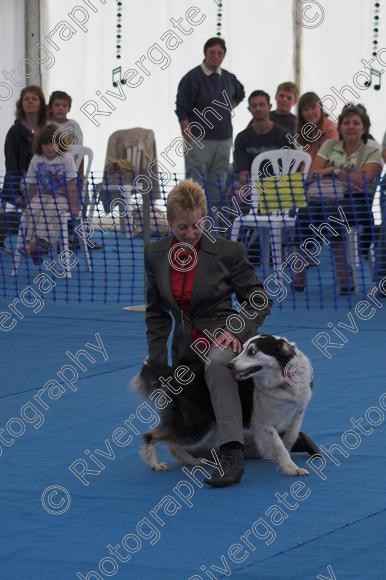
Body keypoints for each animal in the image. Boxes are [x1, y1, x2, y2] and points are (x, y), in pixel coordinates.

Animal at [132, 336, 314, 476]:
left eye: (252, 351)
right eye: (243, 348)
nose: (229, 365)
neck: (282, 382)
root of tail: (174, 372)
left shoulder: (298, 411)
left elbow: (291, 436)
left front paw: (287, 455)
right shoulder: (264, 423)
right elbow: (279, 446)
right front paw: (291, 468)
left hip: (209, 426)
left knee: (172, 444)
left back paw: (193, 461)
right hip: (196, 425)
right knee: (152, 435)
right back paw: (156, 464)